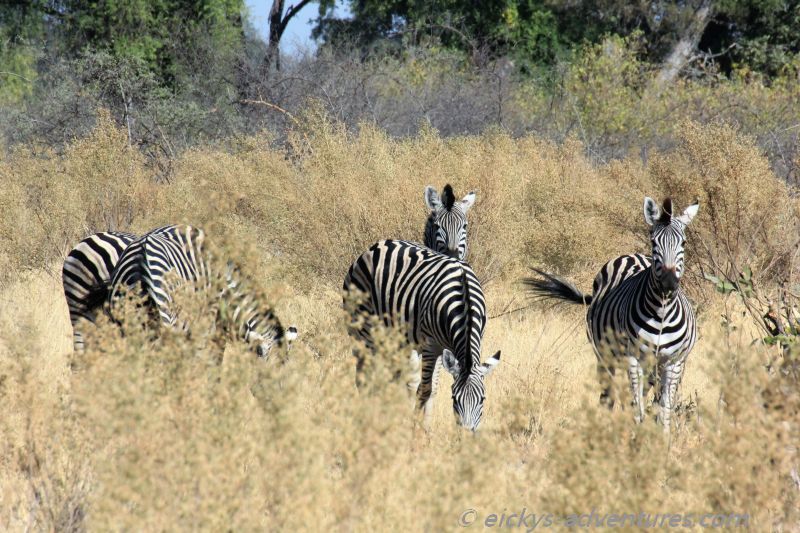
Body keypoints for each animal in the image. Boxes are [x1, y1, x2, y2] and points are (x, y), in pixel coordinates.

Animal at [344, 239, 501, 431]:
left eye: (483, 399)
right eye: (454, 399)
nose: (465, 434)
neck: (465, 301)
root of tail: (376, 245)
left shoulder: (445, 347)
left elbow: (433, 388)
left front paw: (426, 428)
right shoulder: (430, 345)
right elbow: (424, 389)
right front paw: (414, 428)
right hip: (361, 330)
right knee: (363, 376)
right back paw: (365, 414)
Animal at [525, 197, 699, 433]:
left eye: (684, 243)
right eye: (654, 242)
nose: (669, 283)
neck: (662, 311)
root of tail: (630, 255)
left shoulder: (674, 361)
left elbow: (664, 408)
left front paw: (661, 438)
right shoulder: (633, 358)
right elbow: (637, 406)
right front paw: (637, 435)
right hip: (604, 355)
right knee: (608, 396)